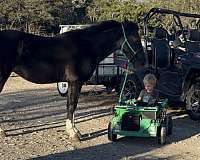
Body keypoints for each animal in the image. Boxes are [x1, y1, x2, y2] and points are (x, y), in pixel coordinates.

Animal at [0, 19, 145, 138]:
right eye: (135, 39)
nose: (142, 62)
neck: (86, 46)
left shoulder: (71, 82)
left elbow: (71, 104)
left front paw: (73, 130)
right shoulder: (75, 82)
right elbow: (72, 105)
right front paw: (73, 133)